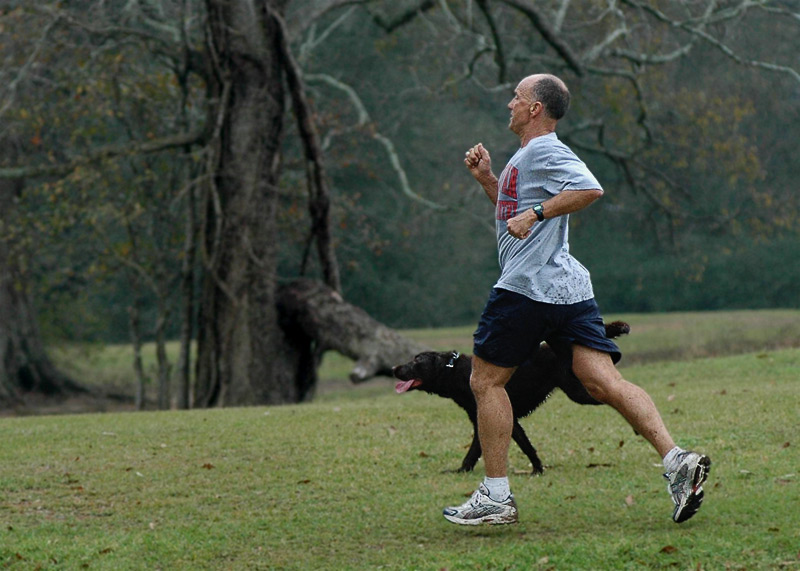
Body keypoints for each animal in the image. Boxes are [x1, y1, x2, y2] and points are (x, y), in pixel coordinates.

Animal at [394, 322, 632, 474]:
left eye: (416, 361)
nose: (394, 368)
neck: (455, 371)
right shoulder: (484, 420)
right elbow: (475, 451)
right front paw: (461, 470)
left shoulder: (506, 418)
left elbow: (524, 447)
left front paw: (537, 470)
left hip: (581, 392)